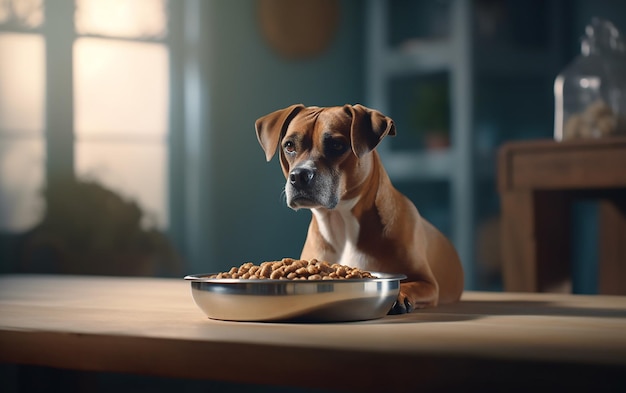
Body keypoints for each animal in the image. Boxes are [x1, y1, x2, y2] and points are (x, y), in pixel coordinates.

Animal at [255, 104, 464, 312]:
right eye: (289, 146)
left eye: (337, 145)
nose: (299, 175)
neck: (340, 221)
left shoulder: (427, 283)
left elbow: (407, 284)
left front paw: (400, 295)